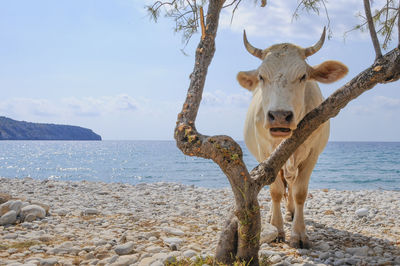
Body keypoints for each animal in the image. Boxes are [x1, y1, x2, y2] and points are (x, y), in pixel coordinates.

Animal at [238, 29, 346, 249]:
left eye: (303, 76)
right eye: (261, 76)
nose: (279, 116)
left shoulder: (312, 154)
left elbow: (299, 193)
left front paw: (299, 234)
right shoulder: (265, 154)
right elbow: (275, 191)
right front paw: (278, 229)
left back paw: (290, 212)